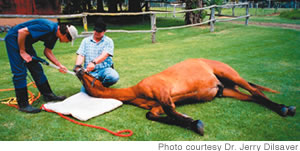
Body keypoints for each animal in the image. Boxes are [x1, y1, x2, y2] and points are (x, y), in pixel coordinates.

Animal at [74, 58, 296, 135]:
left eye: (90, 72)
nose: (77, 68)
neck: (136, 91)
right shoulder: (157, 105)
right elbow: (154, 115)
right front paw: (188, 121)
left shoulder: (163, 93)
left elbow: (171, 111)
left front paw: (194, 123)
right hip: (228, 90)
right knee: (254, 97)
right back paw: (282, 107)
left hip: (231, 75)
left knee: (256, 91)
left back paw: (285, 108)